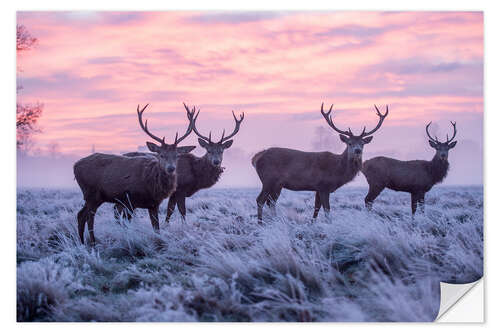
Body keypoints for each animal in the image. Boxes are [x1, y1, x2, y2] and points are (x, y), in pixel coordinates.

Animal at [74, 104, 195, 244]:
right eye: (161, 155)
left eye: (177, 155)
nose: (171, 168)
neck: (152, 185)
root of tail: (75, 166)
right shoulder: (129, 200)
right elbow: (127, 224)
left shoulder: (153, 204)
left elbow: (156, 228)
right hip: (91, 193)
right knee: (89, 217)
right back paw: (93, 242)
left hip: (93, 196)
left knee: (81, 215)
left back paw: (82, 242)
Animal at [115, 103, 244, 223]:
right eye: (208, 150)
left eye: (222, 151)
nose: (216, 162)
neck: (195, 175)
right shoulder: (180, 190)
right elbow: (180, 211)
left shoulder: (175, 193)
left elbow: (170, 211)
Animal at [252, 103, 388, 223]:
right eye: (349, 143)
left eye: (362, 144)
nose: (357, 151)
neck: (337, 171)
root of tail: (256, 158)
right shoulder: (324, 186)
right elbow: (327, 210)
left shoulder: (317, 188)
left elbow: (316, 209)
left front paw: (313, 223)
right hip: (268, 179)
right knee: (260, 200)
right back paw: (260, 223)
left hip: (277, 184)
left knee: (270, 202)